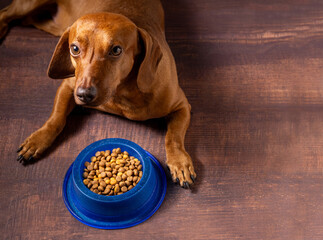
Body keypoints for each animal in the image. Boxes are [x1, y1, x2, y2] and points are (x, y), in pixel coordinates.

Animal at [0, 0, 196, 188]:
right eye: (74, 48)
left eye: (116, 50)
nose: (84, 94)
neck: (122, 94)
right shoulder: (69, 86)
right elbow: (56, 119)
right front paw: (37, 140)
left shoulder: (182, 106)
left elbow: (173, 137)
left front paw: (179, 162)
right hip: (27, 6)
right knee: (5, 13)